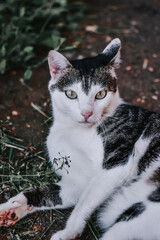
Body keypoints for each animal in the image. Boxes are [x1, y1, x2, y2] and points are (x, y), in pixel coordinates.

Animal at [0, 39, 160, 240]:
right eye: (71, 94)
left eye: (100, 94)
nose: (86, 113)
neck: (73, 130)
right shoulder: (78, 182)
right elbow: (46, 192)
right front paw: (11, 208)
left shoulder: (117, 166)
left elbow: (83, 203)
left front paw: (68, 232)